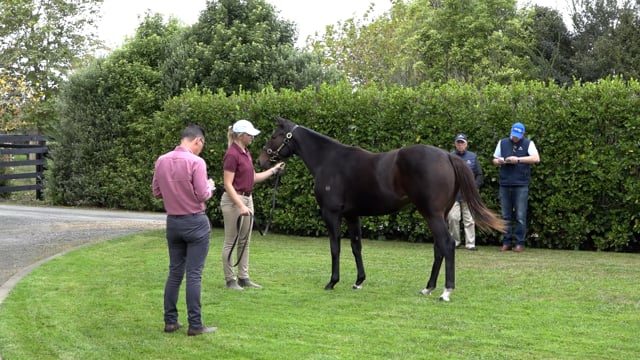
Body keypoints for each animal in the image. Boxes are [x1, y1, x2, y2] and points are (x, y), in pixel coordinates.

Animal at [256, 116, 504, 300]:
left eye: (274, 135)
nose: (260, 161)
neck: (329, 160)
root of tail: (447, 156)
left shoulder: (332, 214)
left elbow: (335, 248)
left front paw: (332, 282)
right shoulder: (352, 215)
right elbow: (356, 247)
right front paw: (358, 281)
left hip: (432, 214)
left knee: (447, 245)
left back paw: (445, 291)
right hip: (439, 215)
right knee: (438, 248)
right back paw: (428, 287)